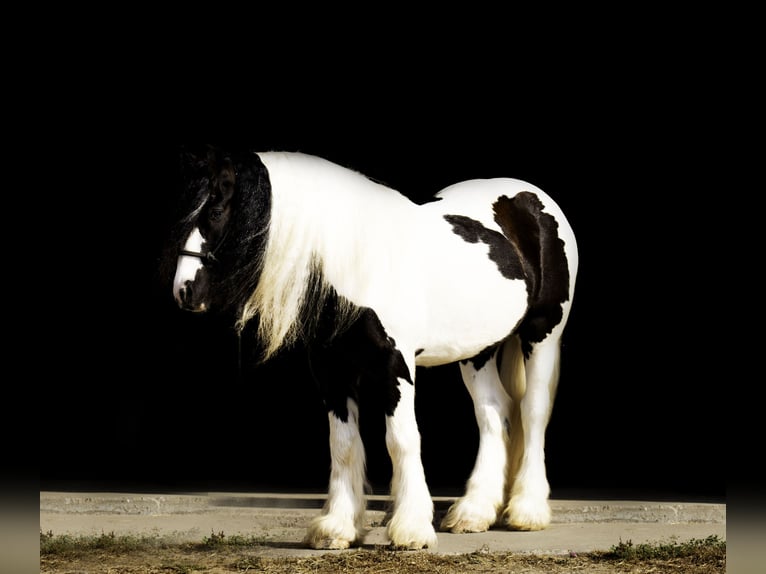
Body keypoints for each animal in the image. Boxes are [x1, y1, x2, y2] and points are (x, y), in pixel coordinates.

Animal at [168, 146, 576, 552]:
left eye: (215, 211)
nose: (184, 291)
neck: (357, 264)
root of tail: (530, 198)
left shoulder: (395, 366)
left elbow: (401, 440)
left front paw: (411, 529)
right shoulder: (331, 371)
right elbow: (343, 444)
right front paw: (337, 528)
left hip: (542, 334)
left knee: (533, 412)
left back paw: (526, 511)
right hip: (478, 351)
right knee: (494, 414)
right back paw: (473, 513)